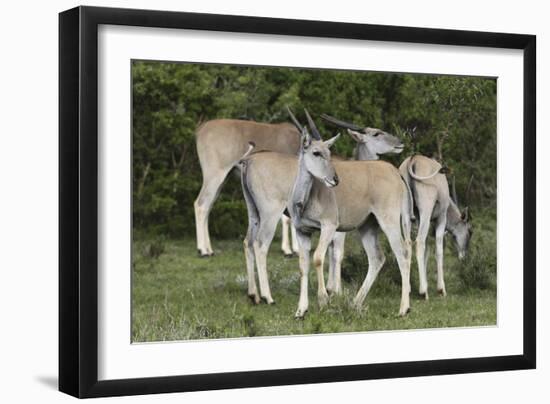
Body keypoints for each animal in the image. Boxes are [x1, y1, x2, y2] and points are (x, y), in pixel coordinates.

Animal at [243, 109, 414, 318]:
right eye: (376, 133)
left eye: (329, 153)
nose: (399, 142)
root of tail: (395, 172)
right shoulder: (307, 231)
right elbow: (309, 262)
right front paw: (307, 306)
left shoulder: (330, 227)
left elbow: (319, 258)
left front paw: (326, 297)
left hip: (384, 222)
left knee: (398, 253)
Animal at [402, 155, 474, 296]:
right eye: (470, 231)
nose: (464, 256)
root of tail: (414, 159)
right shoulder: (441, 218)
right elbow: (439, 249)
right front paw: (441, 289)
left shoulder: (419, 220)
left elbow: (427, 252)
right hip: (426, 211)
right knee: (419, 242)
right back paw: (423, 292)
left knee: (407, 243)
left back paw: (408, 289)